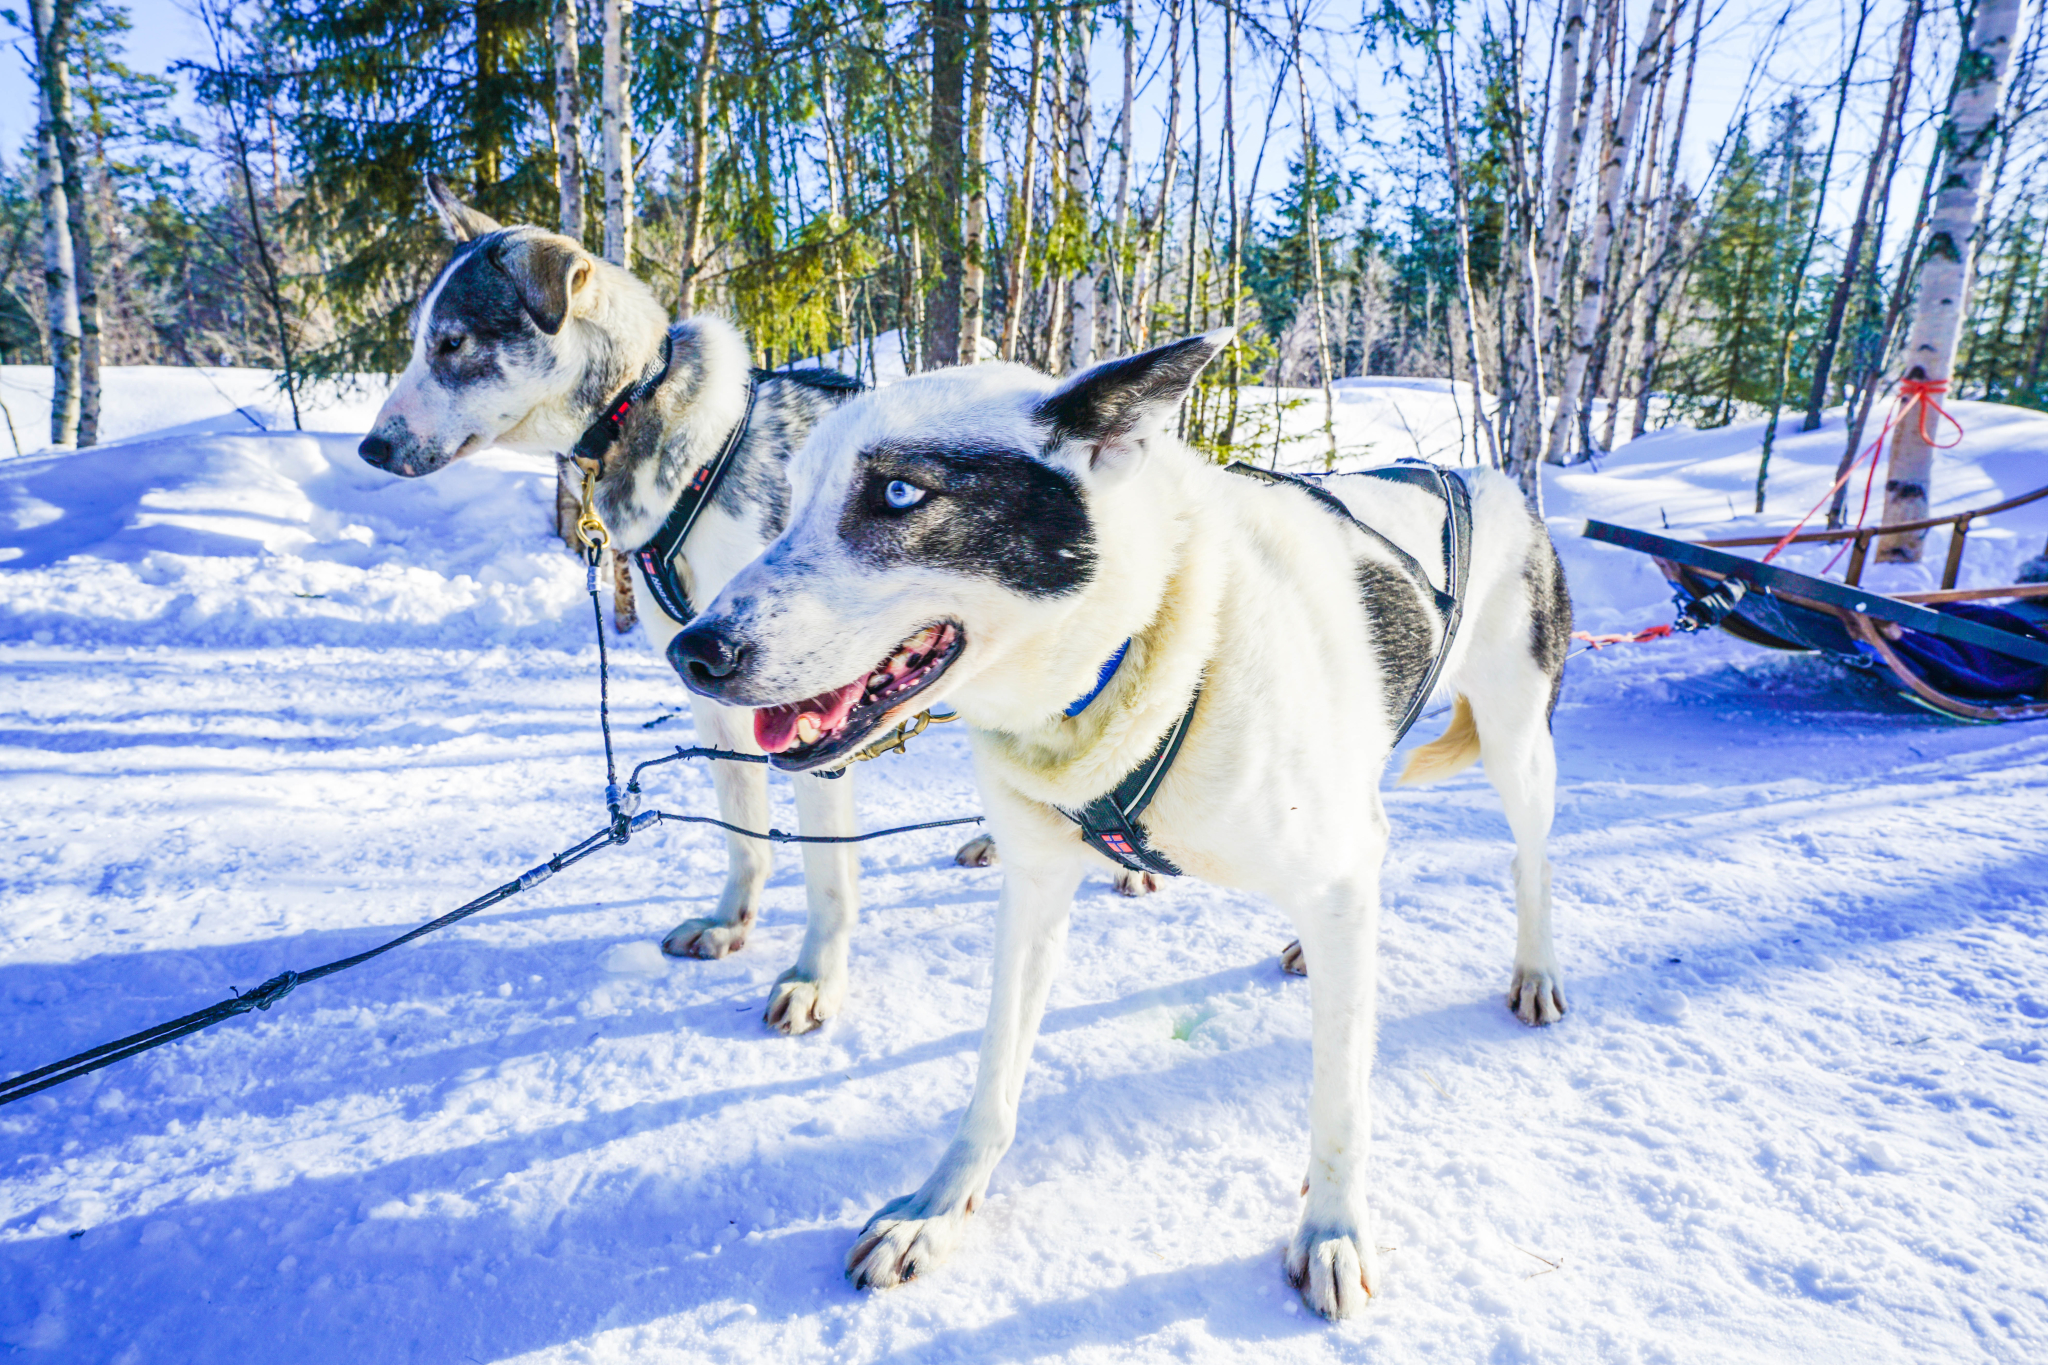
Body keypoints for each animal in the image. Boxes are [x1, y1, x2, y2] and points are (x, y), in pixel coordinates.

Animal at [364, 181, 892, 1035]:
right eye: (419, 342)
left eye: (452, 343)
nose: (371, 447)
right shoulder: (711, 698)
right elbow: (745, 835)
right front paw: (729, 925)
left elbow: (827, 872)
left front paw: (818, 977)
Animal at [663, 331, 1572, 1326]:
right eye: (792, 502)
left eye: (899, 493)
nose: (693, 650)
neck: (1153, 647)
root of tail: (1487, 477)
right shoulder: (1035, 884)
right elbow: (995, 1073)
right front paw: (938, 1209)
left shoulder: (1331, 874)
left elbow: (1341, 1101)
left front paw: (1334, 1230)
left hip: (1518, 745)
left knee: (1528, 859)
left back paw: (1535, 973)